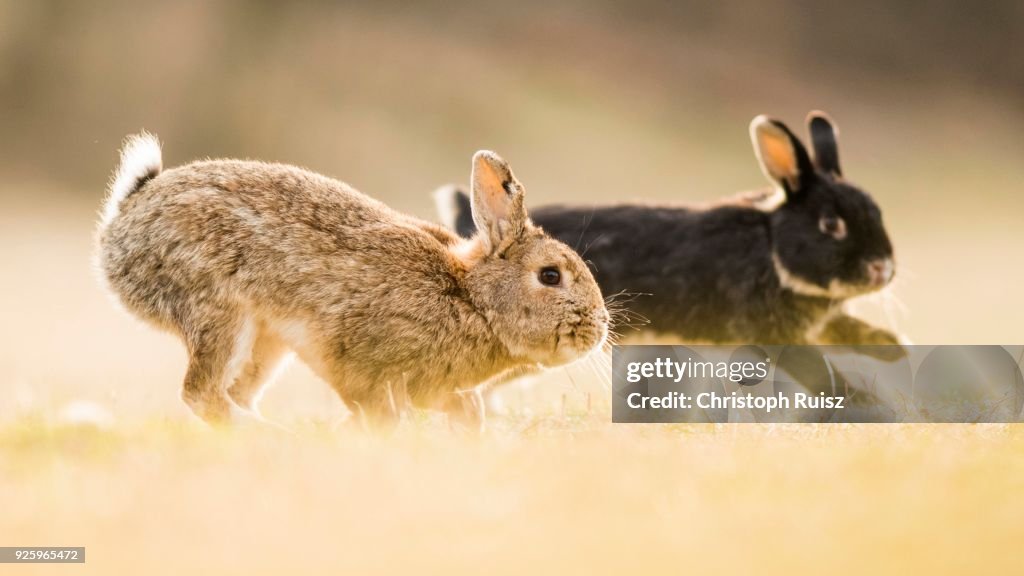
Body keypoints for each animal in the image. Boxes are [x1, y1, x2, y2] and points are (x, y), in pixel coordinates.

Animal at [96, 134, 606, 428]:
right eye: (550, 275)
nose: (599, 328)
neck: (472, 299)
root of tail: (125, 220)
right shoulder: (359, 360)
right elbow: (373, 406)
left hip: (266, 343)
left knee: (234, 393)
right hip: (220, 311)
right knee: (202, 394)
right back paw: (274, 438)